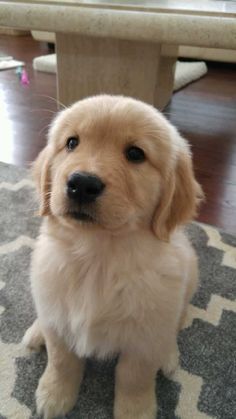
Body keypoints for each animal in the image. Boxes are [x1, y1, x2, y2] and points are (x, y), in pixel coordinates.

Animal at [22, 96, 203, 419]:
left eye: (135, 154)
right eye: (72, 143)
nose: (81, 183)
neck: (98, 257)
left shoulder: (143, 341)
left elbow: (134, 378)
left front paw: (135, 411)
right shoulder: (58, 316)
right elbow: (61, 361)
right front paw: (54, 395)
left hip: (190, 272)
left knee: (176, 320)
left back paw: (169, 354)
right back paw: (36, 332)